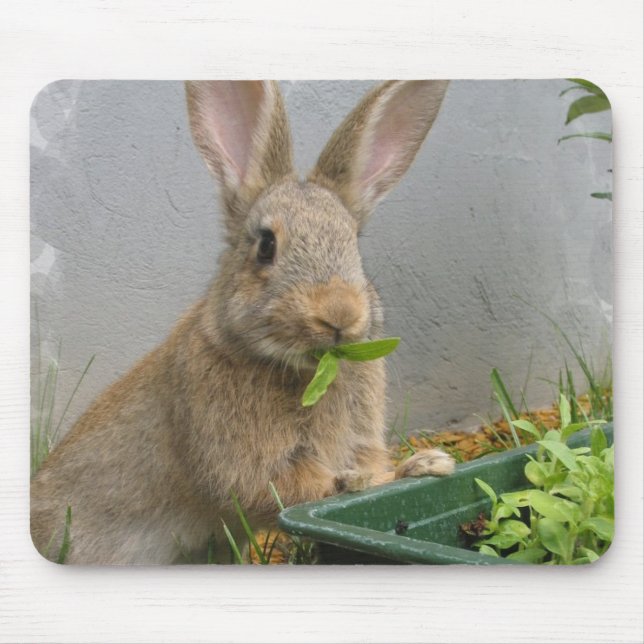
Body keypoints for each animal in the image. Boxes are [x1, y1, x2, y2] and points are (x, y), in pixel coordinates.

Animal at [30, 80, 455, 565]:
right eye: (266, 246)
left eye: (354, 245)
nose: (339, 314)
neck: (304, 369)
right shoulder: (249, 463)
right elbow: (301, 489)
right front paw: (416, 467)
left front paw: (427, 463)